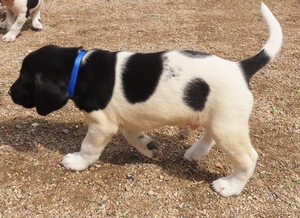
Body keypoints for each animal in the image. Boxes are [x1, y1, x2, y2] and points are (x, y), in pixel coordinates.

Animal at [8, 2, 282, 198]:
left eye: (24, 78)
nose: (9, 93)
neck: (79, 67)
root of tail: (241, 68)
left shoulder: (101, 125)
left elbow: (88, 147)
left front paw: (76, 162)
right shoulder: (129, 119)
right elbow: (134, 137)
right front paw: (149, 148)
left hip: (228, 127)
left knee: (248, 158)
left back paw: (230, 186)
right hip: (216, 118)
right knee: (209, 135)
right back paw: (196, 152)